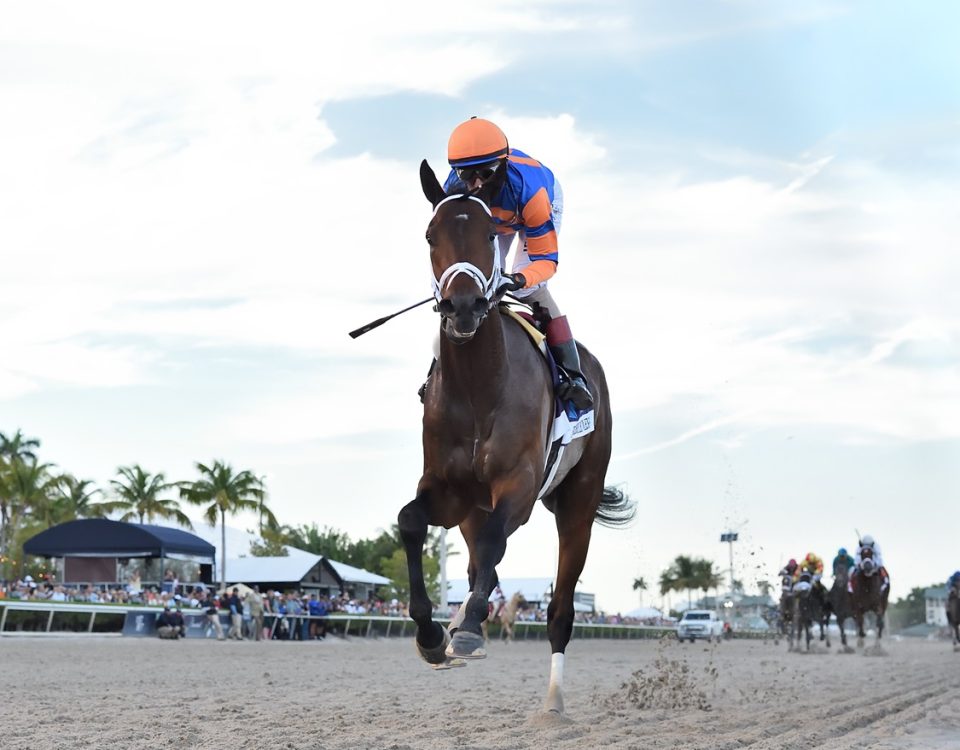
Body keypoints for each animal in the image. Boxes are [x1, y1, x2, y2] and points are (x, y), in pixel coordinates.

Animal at [394, 162, 632, 720]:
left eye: (489, 235)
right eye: (431, 234)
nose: (462, 306)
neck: (480, 386)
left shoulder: (520, 486)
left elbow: (495, 543)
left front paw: (464, 632)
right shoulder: (448, 489)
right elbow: (411, 521)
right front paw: (433, 634)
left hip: (578, 502)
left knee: (560, 608)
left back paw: (552, 702)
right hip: (471, 509)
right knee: (478, 562)